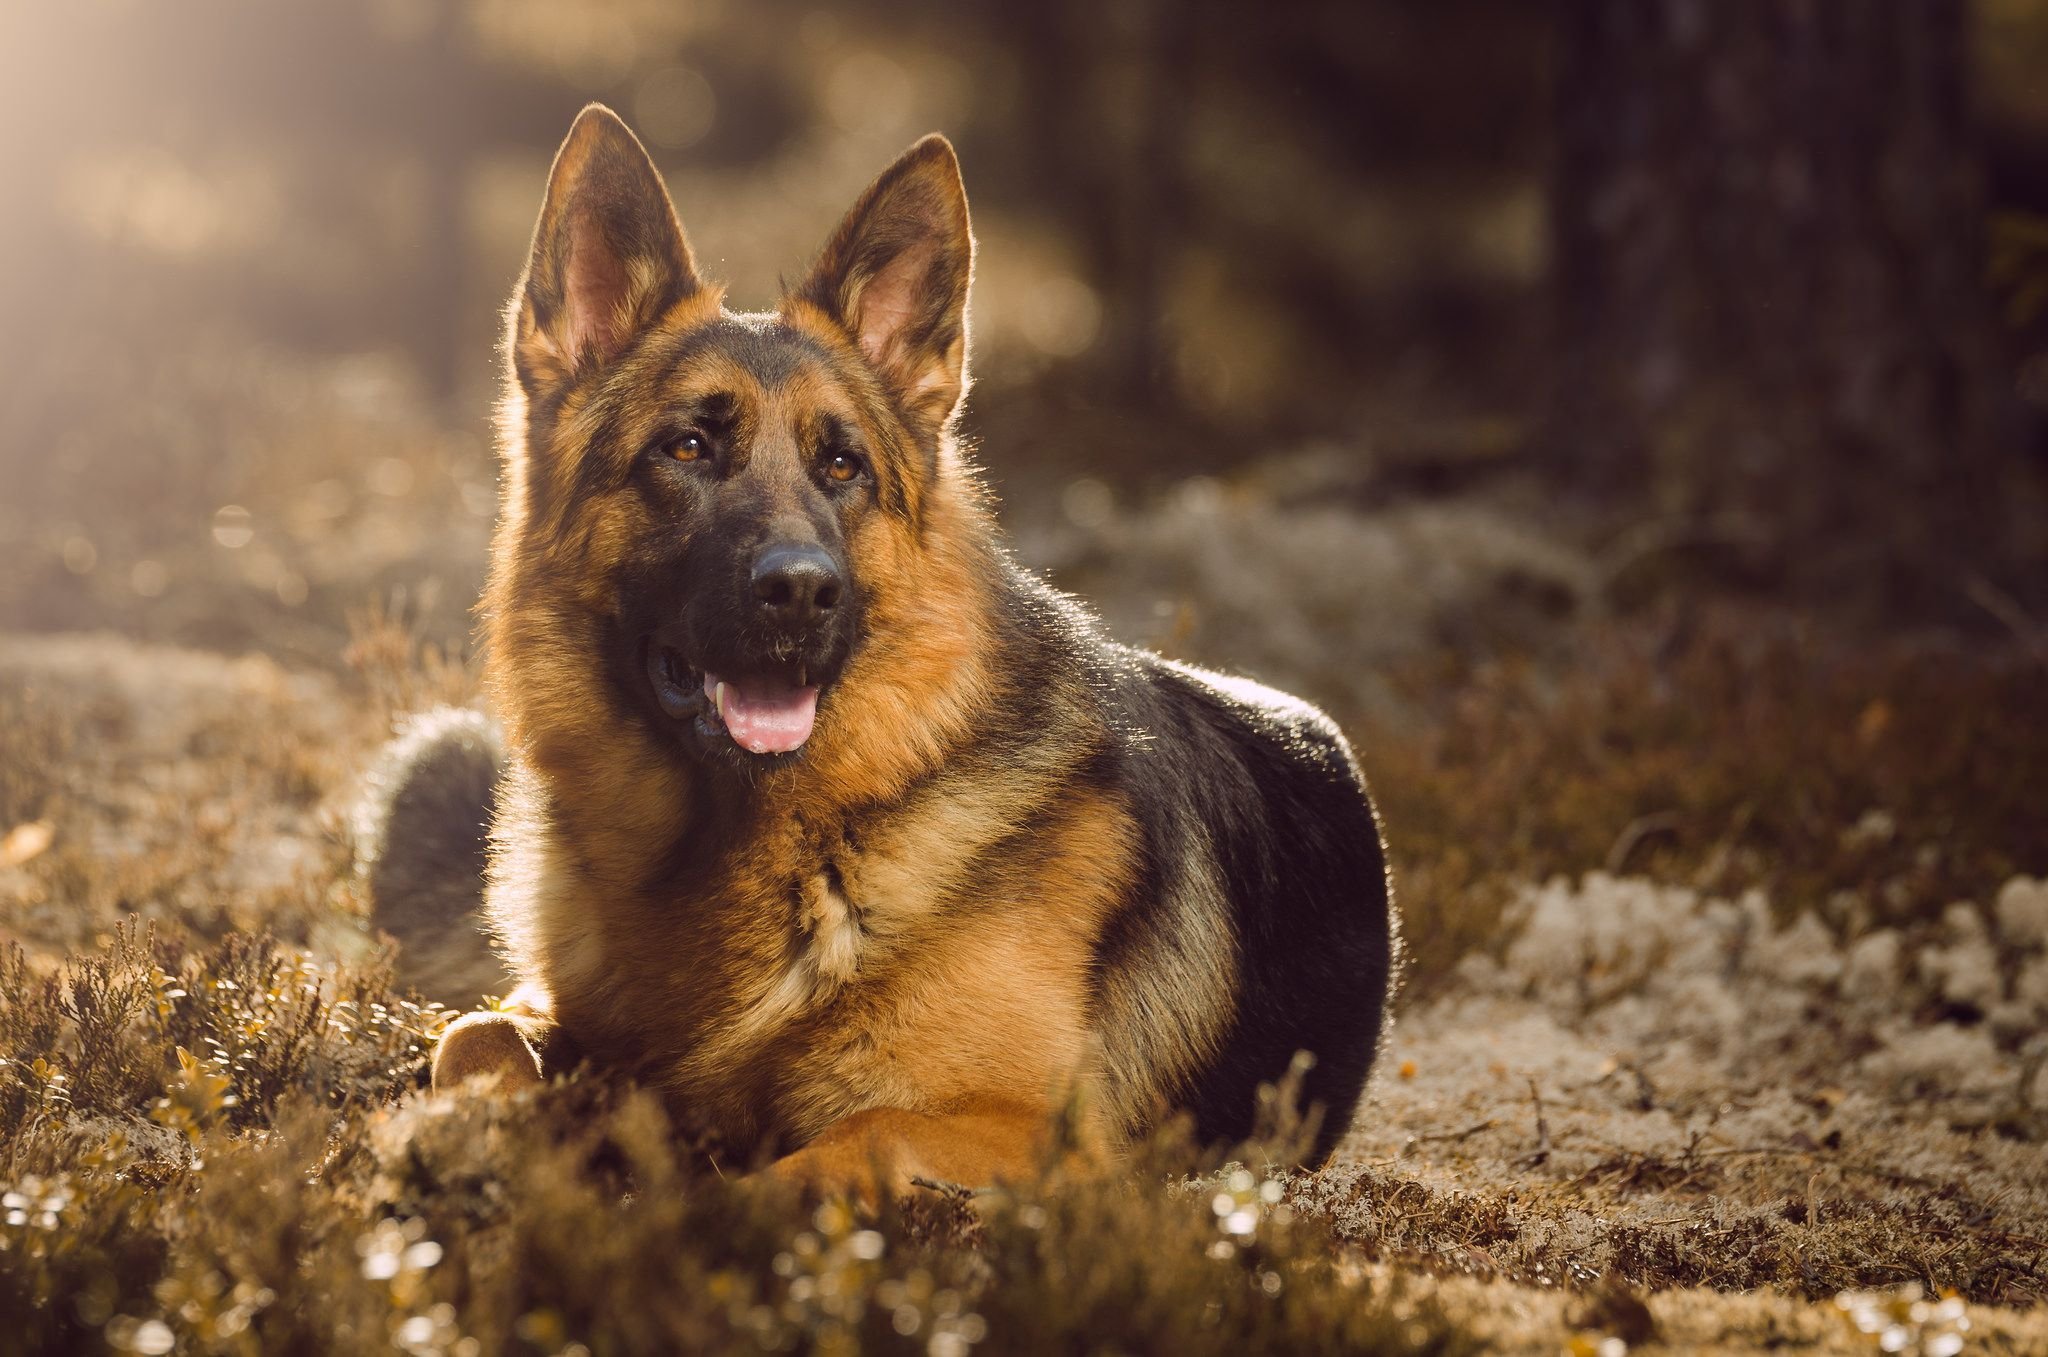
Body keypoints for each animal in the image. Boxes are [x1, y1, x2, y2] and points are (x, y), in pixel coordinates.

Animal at [360, 103, 1400, 1187]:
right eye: (686, 448)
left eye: (842, 464)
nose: (799, 590)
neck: (777, 836)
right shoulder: (547, 1011)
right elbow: (472, 1031)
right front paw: (470, 1134)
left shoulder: (1032, 1133)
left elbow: (827, 1153)